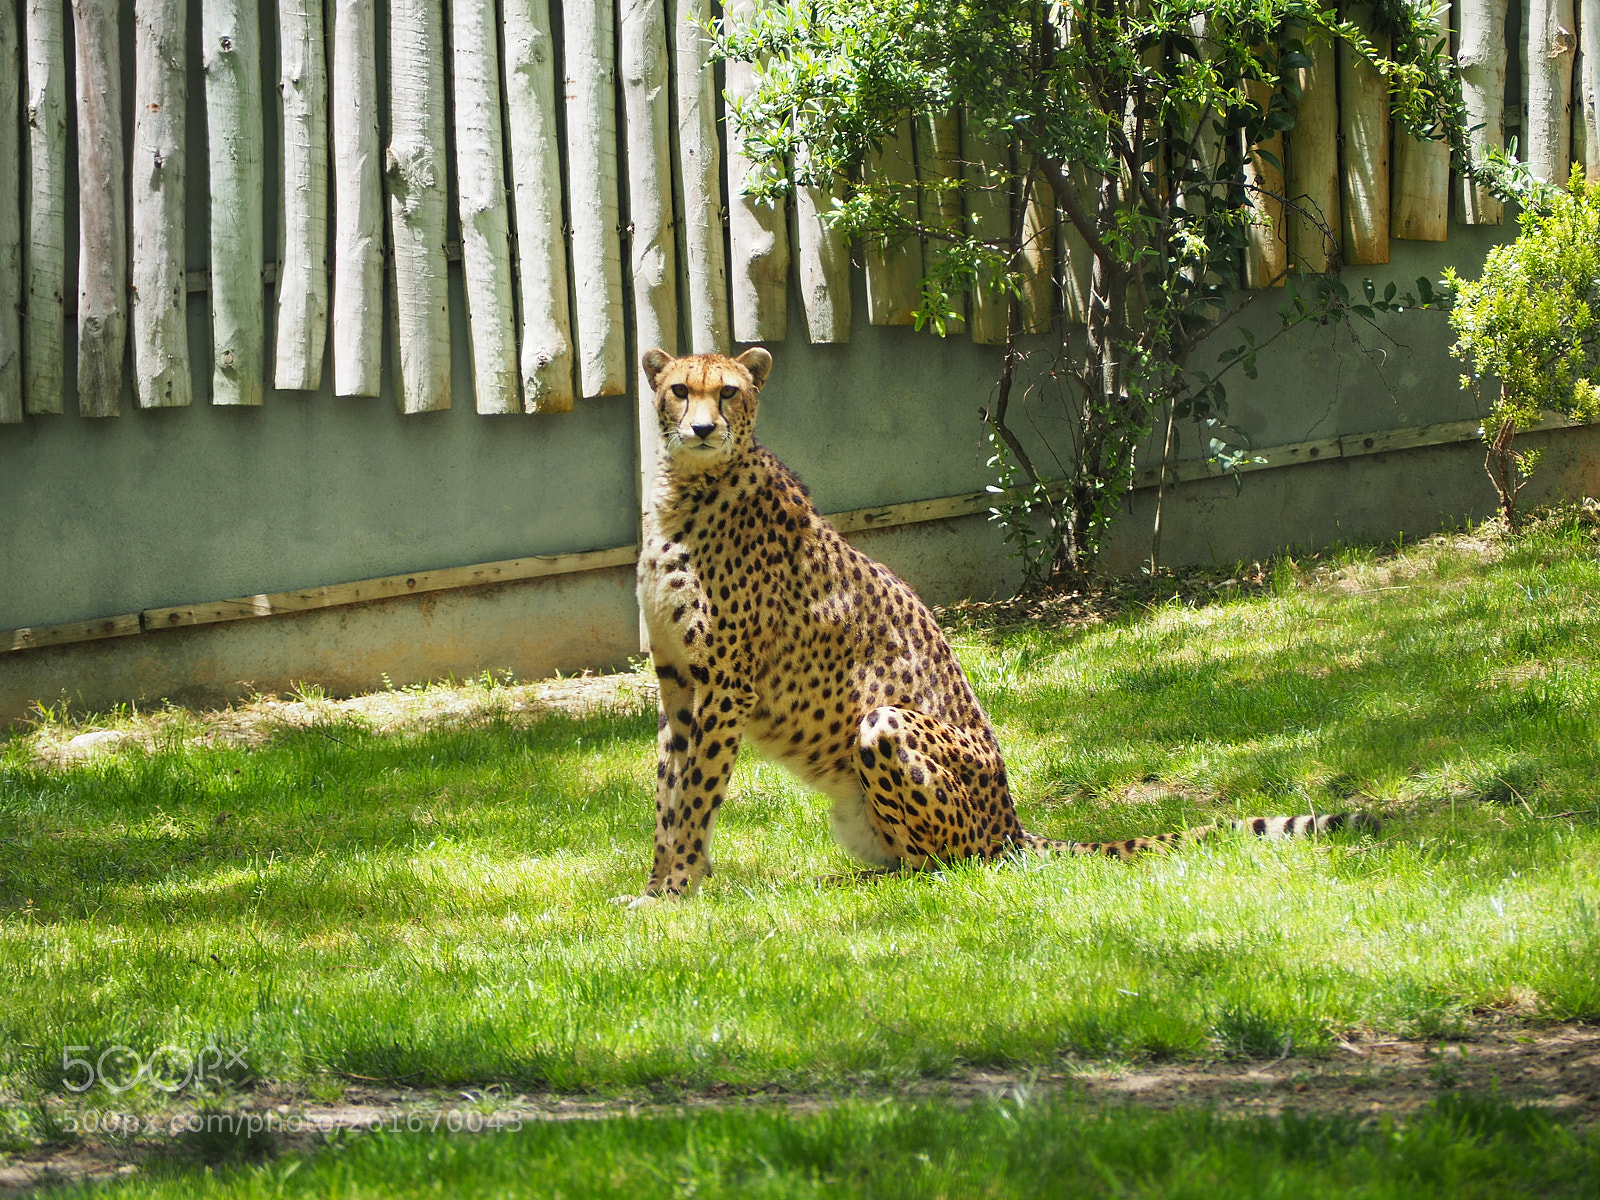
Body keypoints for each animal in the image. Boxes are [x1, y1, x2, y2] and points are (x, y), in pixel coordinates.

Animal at [630, 346, 1374, 903]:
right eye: (678, 390)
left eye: (728, 392)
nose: (701, 429)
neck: (685, 492)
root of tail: (1012, 823)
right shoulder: (678, 684)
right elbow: (668, 793)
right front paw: (658, 883)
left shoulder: (727, 685)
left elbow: (696, 793)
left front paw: (679, 891)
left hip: (884, 724)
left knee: (942, 867)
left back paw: (851, 884)